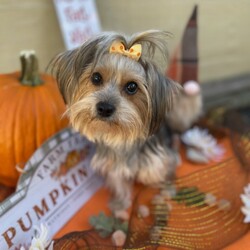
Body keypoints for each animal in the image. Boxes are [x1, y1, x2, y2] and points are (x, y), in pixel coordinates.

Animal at [50, 30, 201, 215]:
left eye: (132, 87)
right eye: (96, 77)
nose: (104, 108)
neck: (122, 138)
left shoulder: (159, 160)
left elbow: (165, 172)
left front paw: (167, 190)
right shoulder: (114, 165)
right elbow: (119, 184)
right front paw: (120, 204)